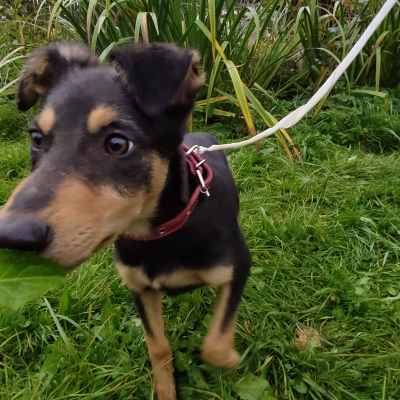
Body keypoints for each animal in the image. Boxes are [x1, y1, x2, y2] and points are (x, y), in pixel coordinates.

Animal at [0, 42, 251, 400]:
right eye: (36, 138)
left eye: (118, 143)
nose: (12, 235)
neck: (160, 236)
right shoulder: (139, 288)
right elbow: (157, 347)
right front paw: (166, 390)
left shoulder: (238, 267)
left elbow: (214, 344)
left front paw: (230, 359)